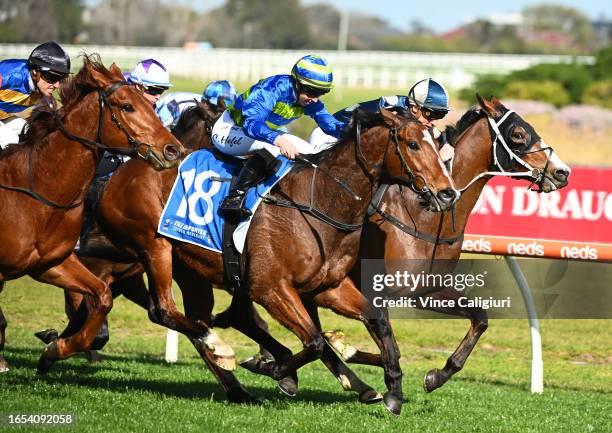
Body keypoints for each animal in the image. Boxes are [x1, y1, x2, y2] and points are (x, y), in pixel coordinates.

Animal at [0, 53, 182, 372]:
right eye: (127, 106)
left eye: (151, 105)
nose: (173, 149)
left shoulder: (50, 263)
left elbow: (102, 300)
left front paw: (54, 349)